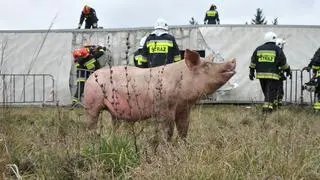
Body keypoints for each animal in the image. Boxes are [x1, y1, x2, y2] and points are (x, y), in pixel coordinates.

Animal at [84, 49, 236, 141]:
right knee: (91, 124)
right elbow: (168, 130)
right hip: (92, 104)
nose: (233, 60)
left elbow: (184, 129)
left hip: (114, 112)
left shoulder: (184, 109)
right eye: (206, 65)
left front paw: (184, 146)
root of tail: (90, 76)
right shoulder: (164, 107)